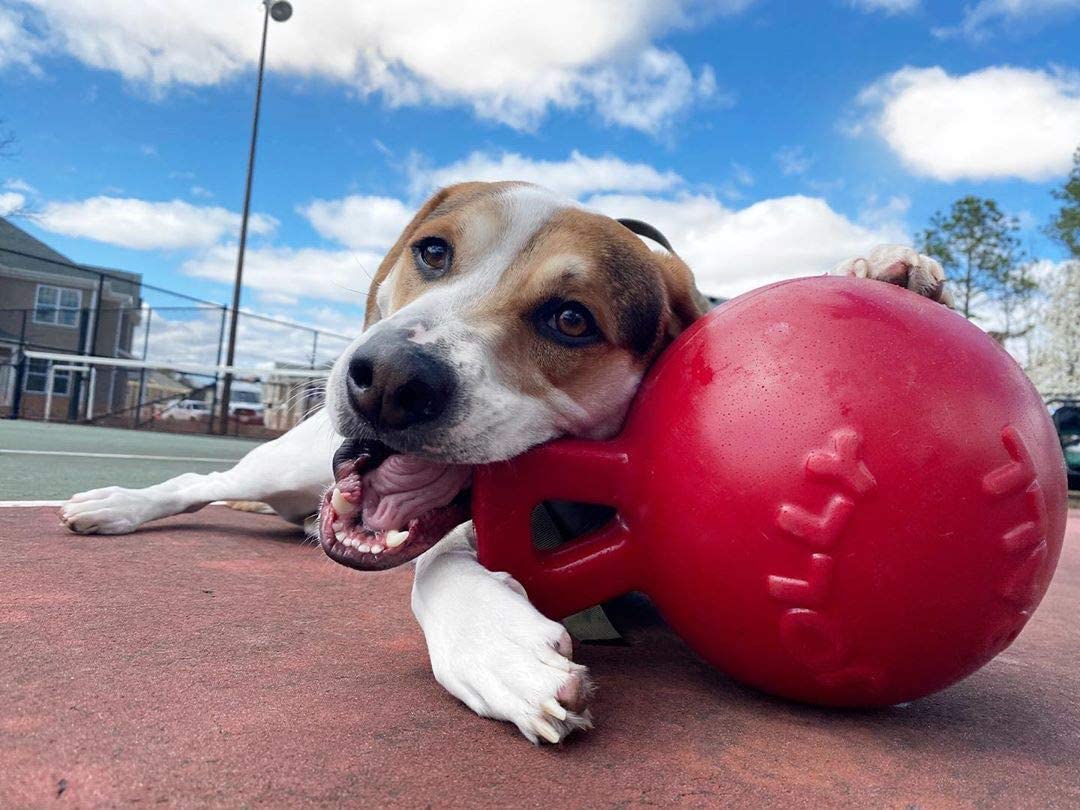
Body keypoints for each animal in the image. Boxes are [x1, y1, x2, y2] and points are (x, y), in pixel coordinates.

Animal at [61, 180, 954, 747]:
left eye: (571, 319)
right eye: (432, 252)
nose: (388, 379)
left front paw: (893, 274)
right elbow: (433, 571)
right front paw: (501, 653)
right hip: (286, 464)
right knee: (198, 483)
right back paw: (112, 505)